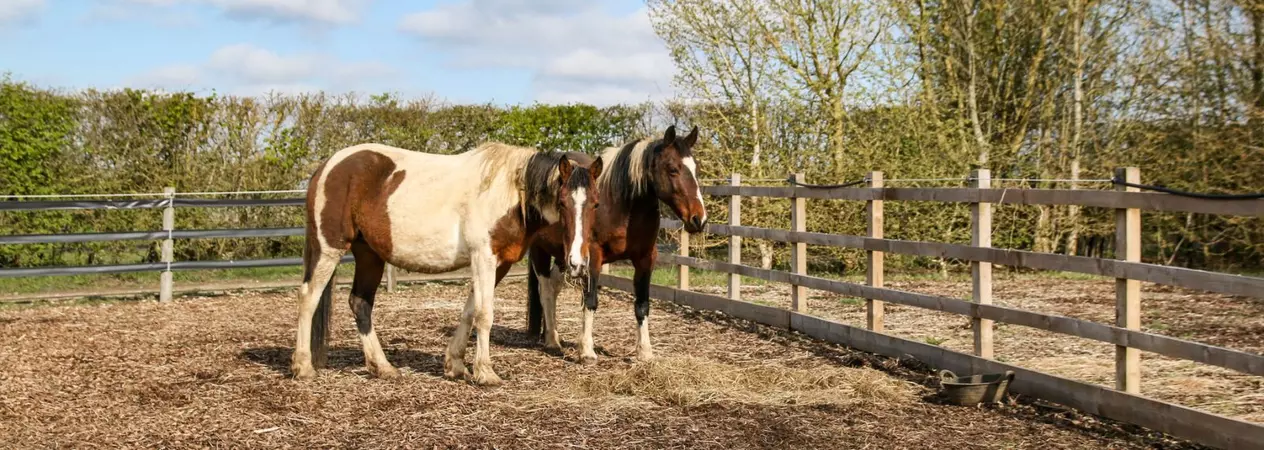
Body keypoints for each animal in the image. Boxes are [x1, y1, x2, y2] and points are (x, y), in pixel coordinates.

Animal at [292, 142, 603, 386]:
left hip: (369, 255)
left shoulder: (498, 263)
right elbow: (484, 314)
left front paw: (455, 365)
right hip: (330, 248)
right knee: (308, 297)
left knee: (360, 303)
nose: (577, 262)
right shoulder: (483, 257)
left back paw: (383, 367)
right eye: (562, 203)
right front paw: (485, 372)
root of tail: (327, 165)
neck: (510, 193)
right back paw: (303, 366)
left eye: (596, 204)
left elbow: (469, 312)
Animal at [524, 125, 707, 363]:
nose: (699, 219)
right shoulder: (592, 258)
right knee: (545, 289)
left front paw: (645, 352)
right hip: (541, 251)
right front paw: (587, 351)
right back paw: (552, 342)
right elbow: (590, 300)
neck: (620, 205)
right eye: (673, 169)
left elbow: (642, 304)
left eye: (695, 170)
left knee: (554, 286)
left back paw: (552, 334)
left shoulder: (645, 258)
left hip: (566, 256)